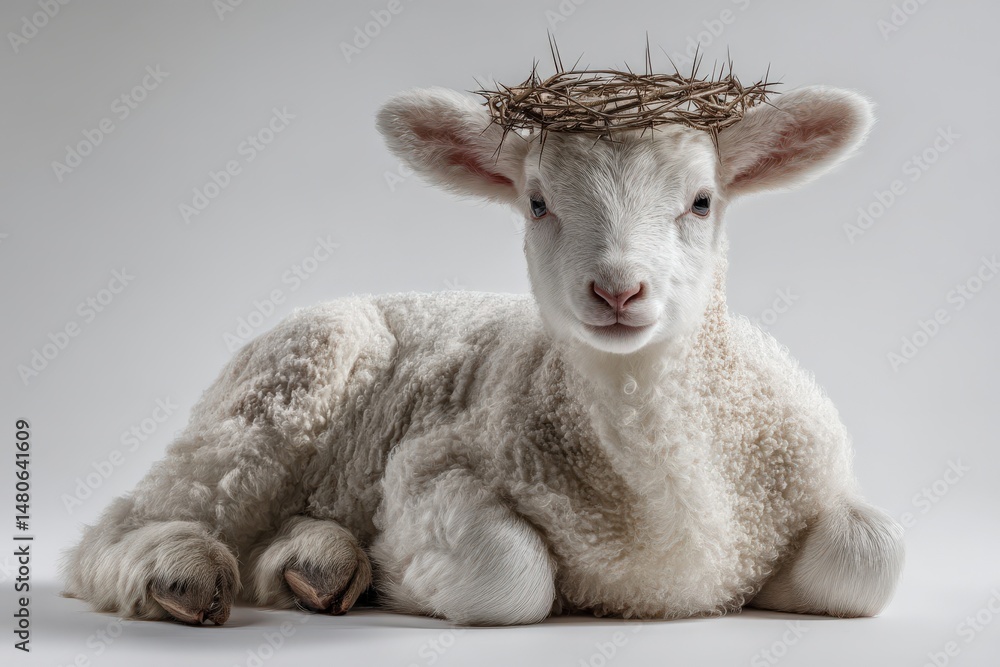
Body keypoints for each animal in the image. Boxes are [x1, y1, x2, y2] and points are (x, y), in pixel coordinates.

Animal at [63, 81, 905, 627]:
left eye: (701, 202)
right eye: (536, 203)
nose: (617, 290)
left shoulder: (814, 465)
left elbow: (874, 555)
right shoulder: (430, 465)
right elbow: (507, 573)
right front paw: (404, 577)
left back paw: (310, 560)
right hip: (285, 386)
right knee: (118, 527)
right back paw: (179, 569)